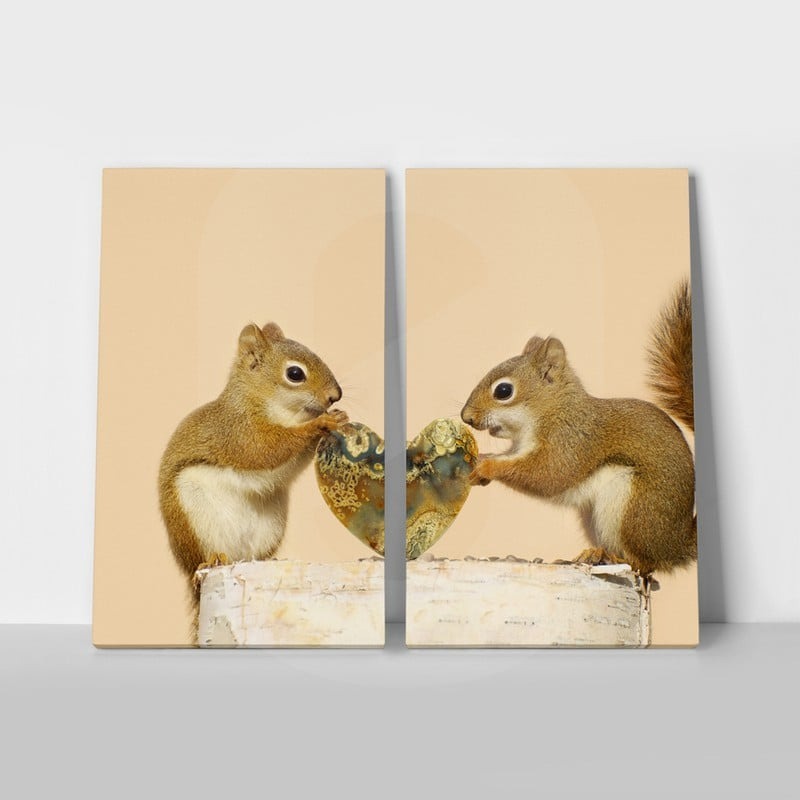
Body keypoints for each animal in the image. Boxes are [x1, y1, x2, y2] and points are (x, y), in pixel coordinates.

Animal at [158, 322, 347, 592]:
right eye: (295, 374)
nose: (335, 395)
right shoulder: (239, 432)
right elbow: (266, 450)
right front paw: (319, 423)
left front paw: (338, 417)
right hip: (194, 517)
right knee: (203, 557)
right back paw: (212, 559)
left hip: (271, 526)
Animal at [461, 281, 695, 576]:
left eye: (503, 391)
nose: (466, 417)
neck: (552, 411)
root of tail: (677, 545)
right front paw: (481, 463)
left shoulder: (572, 440)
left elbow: (549, 473)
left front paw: (486, 466)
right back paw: (595, 553)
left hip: (633, 508)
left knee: (644, 564)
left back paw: (615, 558)